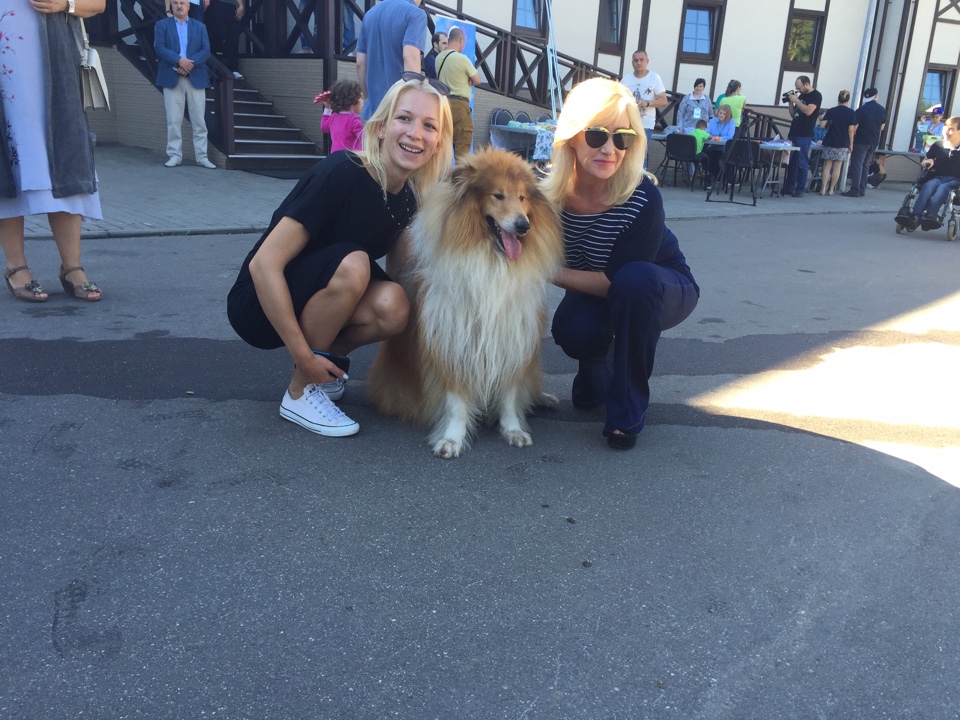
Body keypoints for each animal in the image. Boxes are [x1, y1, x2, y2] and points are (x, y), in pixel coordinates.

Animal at [366, 148, 564, 458]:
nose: (523, 226)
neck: (493, 260)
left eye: (522, 197)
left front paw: (513, 430)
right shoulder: (455, 343)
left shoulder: (512, 341)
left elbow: (510, 396)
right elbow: (456, 402)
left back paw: (543, 398)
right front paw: (452, 439)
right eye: (498, 195)